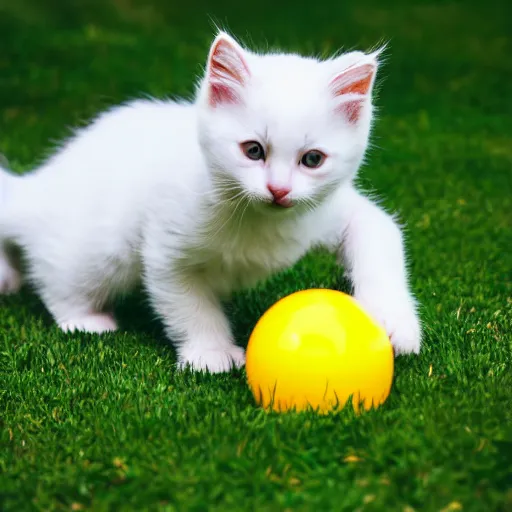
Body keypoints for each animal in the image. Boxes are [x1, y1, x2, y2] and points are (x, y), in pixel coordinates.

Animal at [0, 32, 422, 370]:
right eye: (253, 151)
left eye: (313, 159)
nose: (279, 190)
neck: (262, 222)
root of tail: (42, 182)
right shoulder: (167, 250)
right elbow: (192, 308)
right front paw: (211, 354)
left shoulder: (343, 212)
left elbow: (381, 250)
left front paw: (393, 322)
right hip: (100, 253)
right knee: (56, 279)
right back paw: (84, 319)